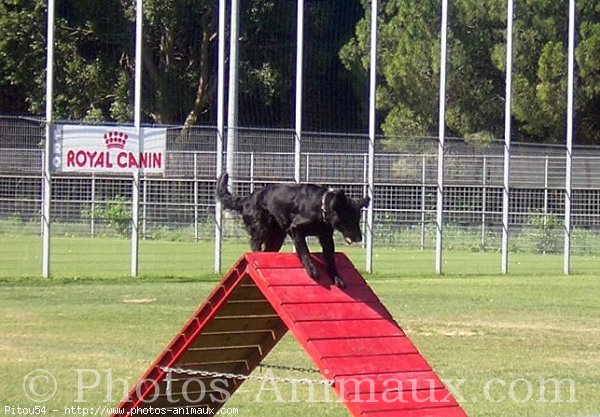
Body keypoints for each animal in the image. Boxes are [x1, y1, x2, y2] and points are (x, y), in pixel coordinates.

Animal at [213, 172, 368, 286]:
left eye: (357, 220)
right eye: (349, 220)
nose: (359, 238)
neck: (321, 206)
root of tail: (246, 199)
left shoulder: (326, 237)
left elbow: (330, 259)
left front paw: (336, 277)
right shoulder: (296, 229)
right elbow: (304, 251)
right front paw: (311, 269)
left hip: (276, 239)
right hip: (261, 227)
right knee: (255, 244)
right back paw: (257, 255)